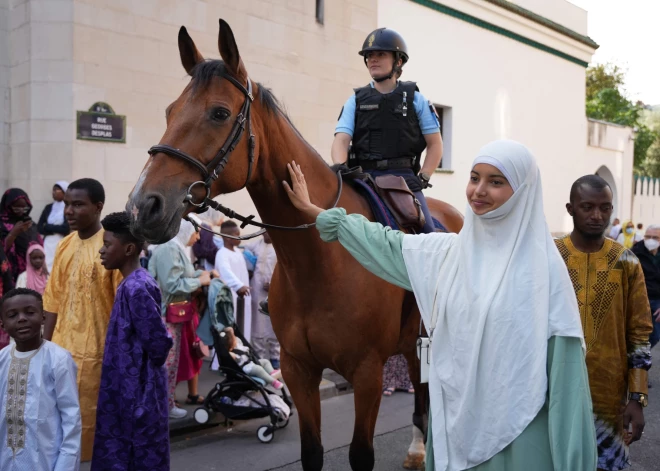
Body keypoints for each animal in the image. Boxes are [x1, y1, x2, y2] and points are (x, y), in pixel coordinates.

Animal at [126, 19, 462, 471]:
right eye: (169, 112)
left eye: (219, 113)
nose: (144, 205)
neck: (318, 261)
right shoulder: (298, 369)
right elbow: (311, 452)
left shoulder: (367, 373)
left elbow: (361, 454)